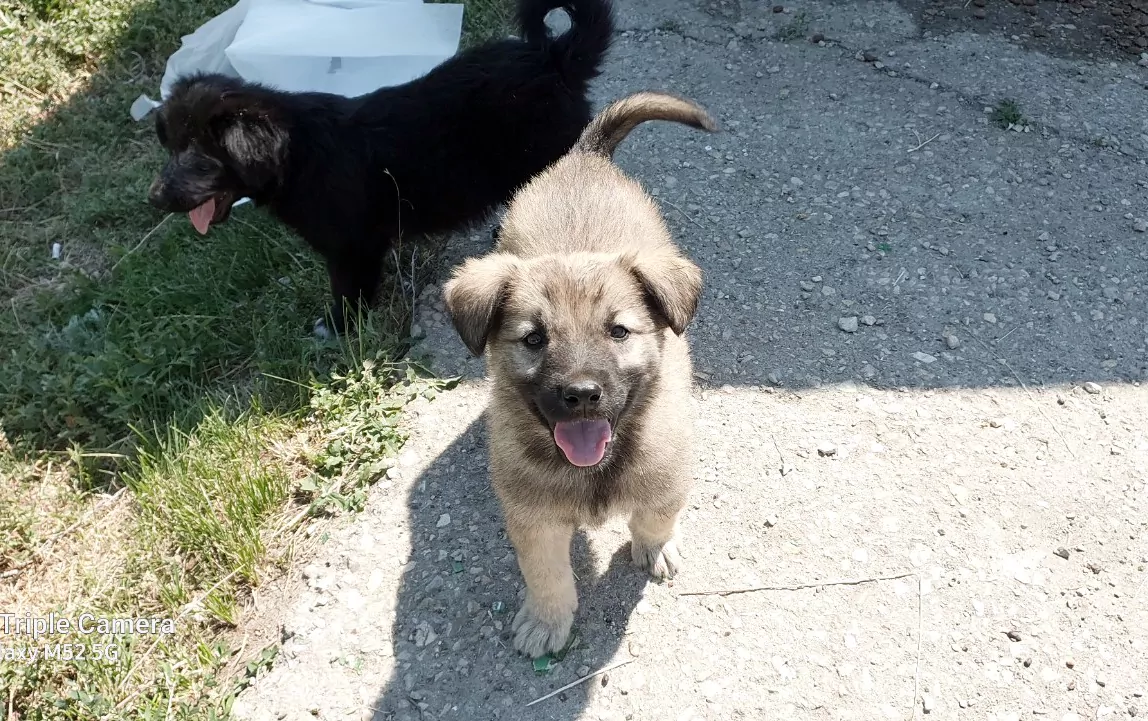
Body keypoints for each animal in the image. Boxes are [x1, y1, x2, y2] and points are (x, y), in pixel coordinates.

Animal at [147, 0, 614, 336]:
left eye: (200, 160)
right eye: (171, 149)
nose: (153, 198)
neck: (298, 156)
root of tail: (553, 58)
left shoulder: (352, 247)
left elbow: (348, 290)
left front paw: (338, 327)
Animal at [443, 91, 717, 658]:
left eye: (619, 331)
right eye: (533, 339)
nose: (582, 394)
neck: (594, 470)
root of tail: (583, 156)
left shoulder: (667, 475)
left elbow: (656, 517)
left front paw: (657, 547)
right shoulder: (535, 518)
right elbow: (546, 575)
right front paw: (546, 621)